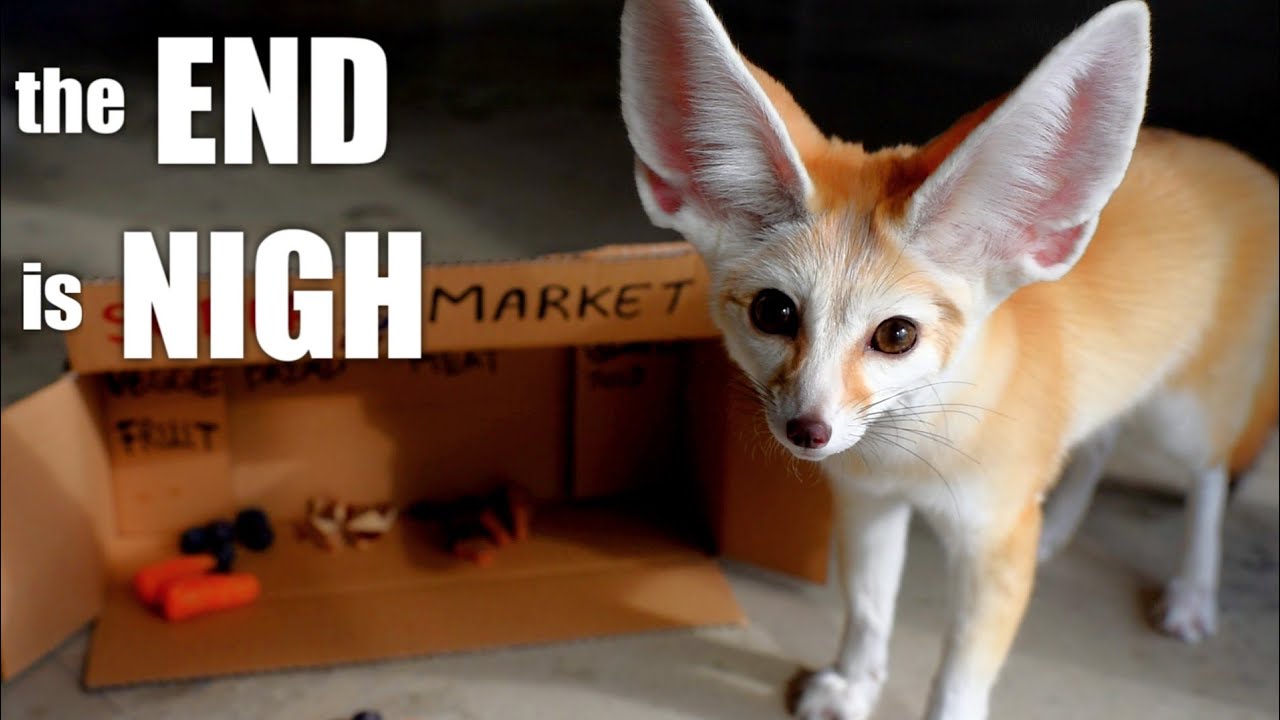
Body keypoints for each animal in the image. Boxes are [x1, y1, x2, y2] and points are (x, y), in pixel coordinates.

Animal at [618, 1, 1279, 718]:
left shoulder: (994, 540)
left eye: (896, 335)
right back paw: (1059, 527)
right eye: (774, 312)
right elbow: (868, 612)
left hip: (1180, 418)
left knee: (1210, 476)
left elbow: (960, 673)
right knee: (1101, 440)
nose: (808, 431)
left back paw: (1193, 590)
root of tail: (1244, 162)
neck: (911, 453)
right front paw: (855, 685)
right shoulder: (869, 502)